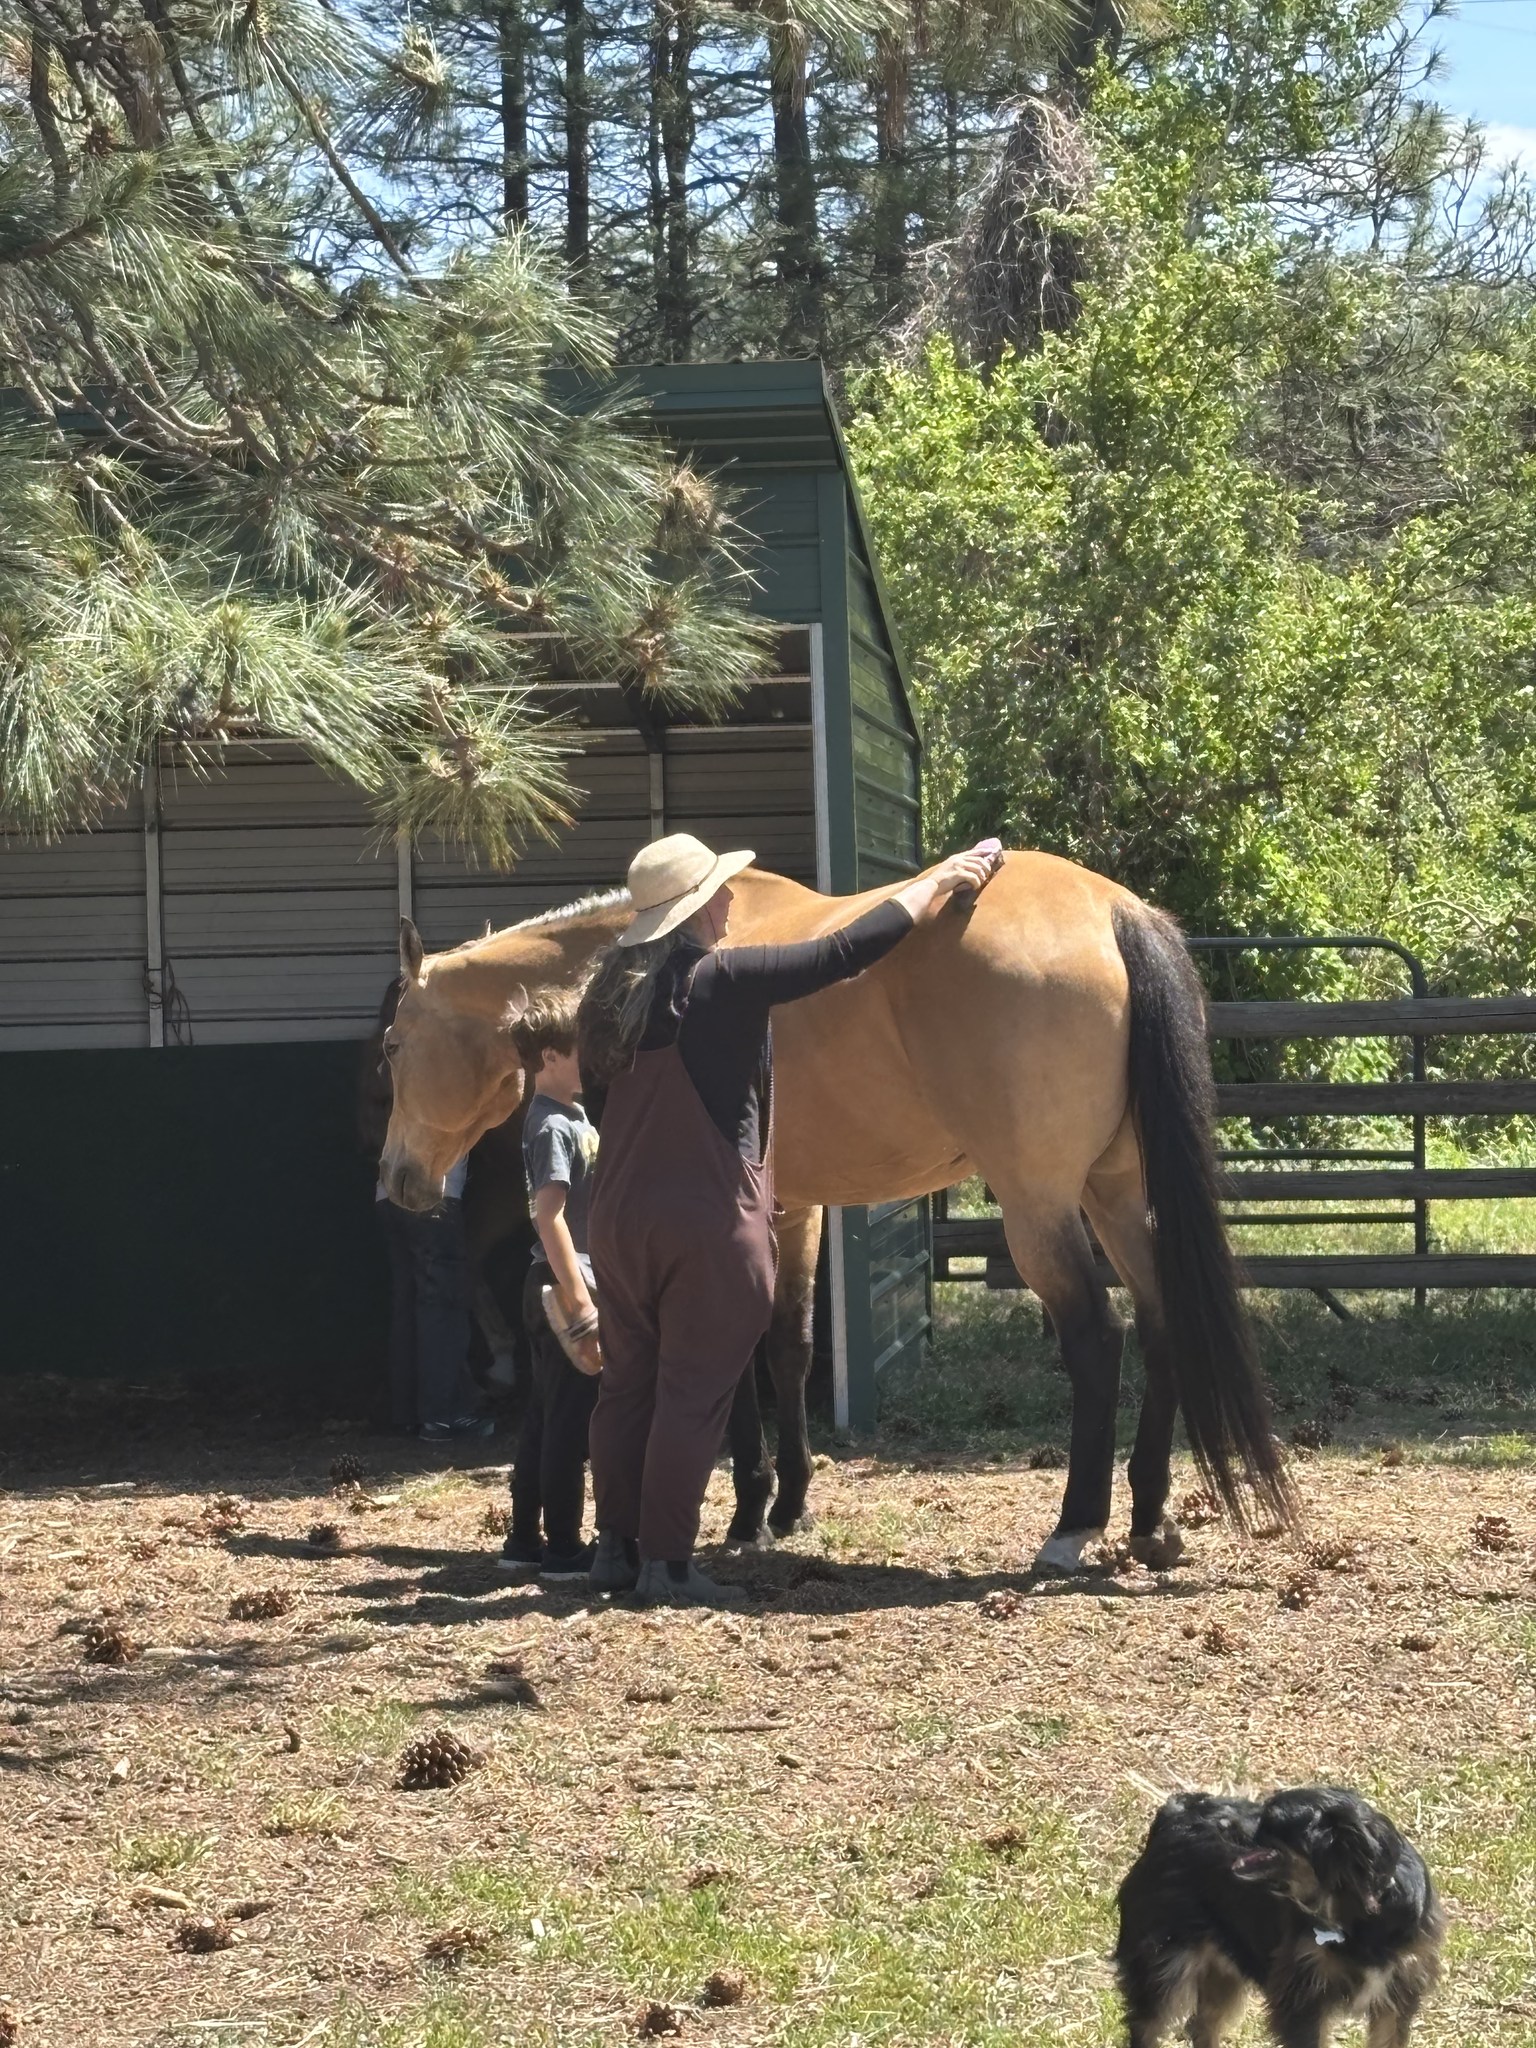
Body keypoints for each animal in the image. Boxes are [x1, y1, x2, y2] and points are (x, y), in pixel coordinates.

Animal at [377, 854, 1293, 1573]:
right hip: (1114, 1192)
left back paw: (1075, 1527)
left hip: (1040, 1207)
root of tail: (1112, 911)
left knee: (1098, 1338)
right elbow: (785, 1346)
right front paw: (785, 1507)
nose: (396, 1180)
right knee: (1162, 1317)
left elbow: (737, 1357)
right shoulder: (795, 1209)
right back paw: (1148, 1520)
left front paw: (749, 1513)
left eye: (390, 1046)